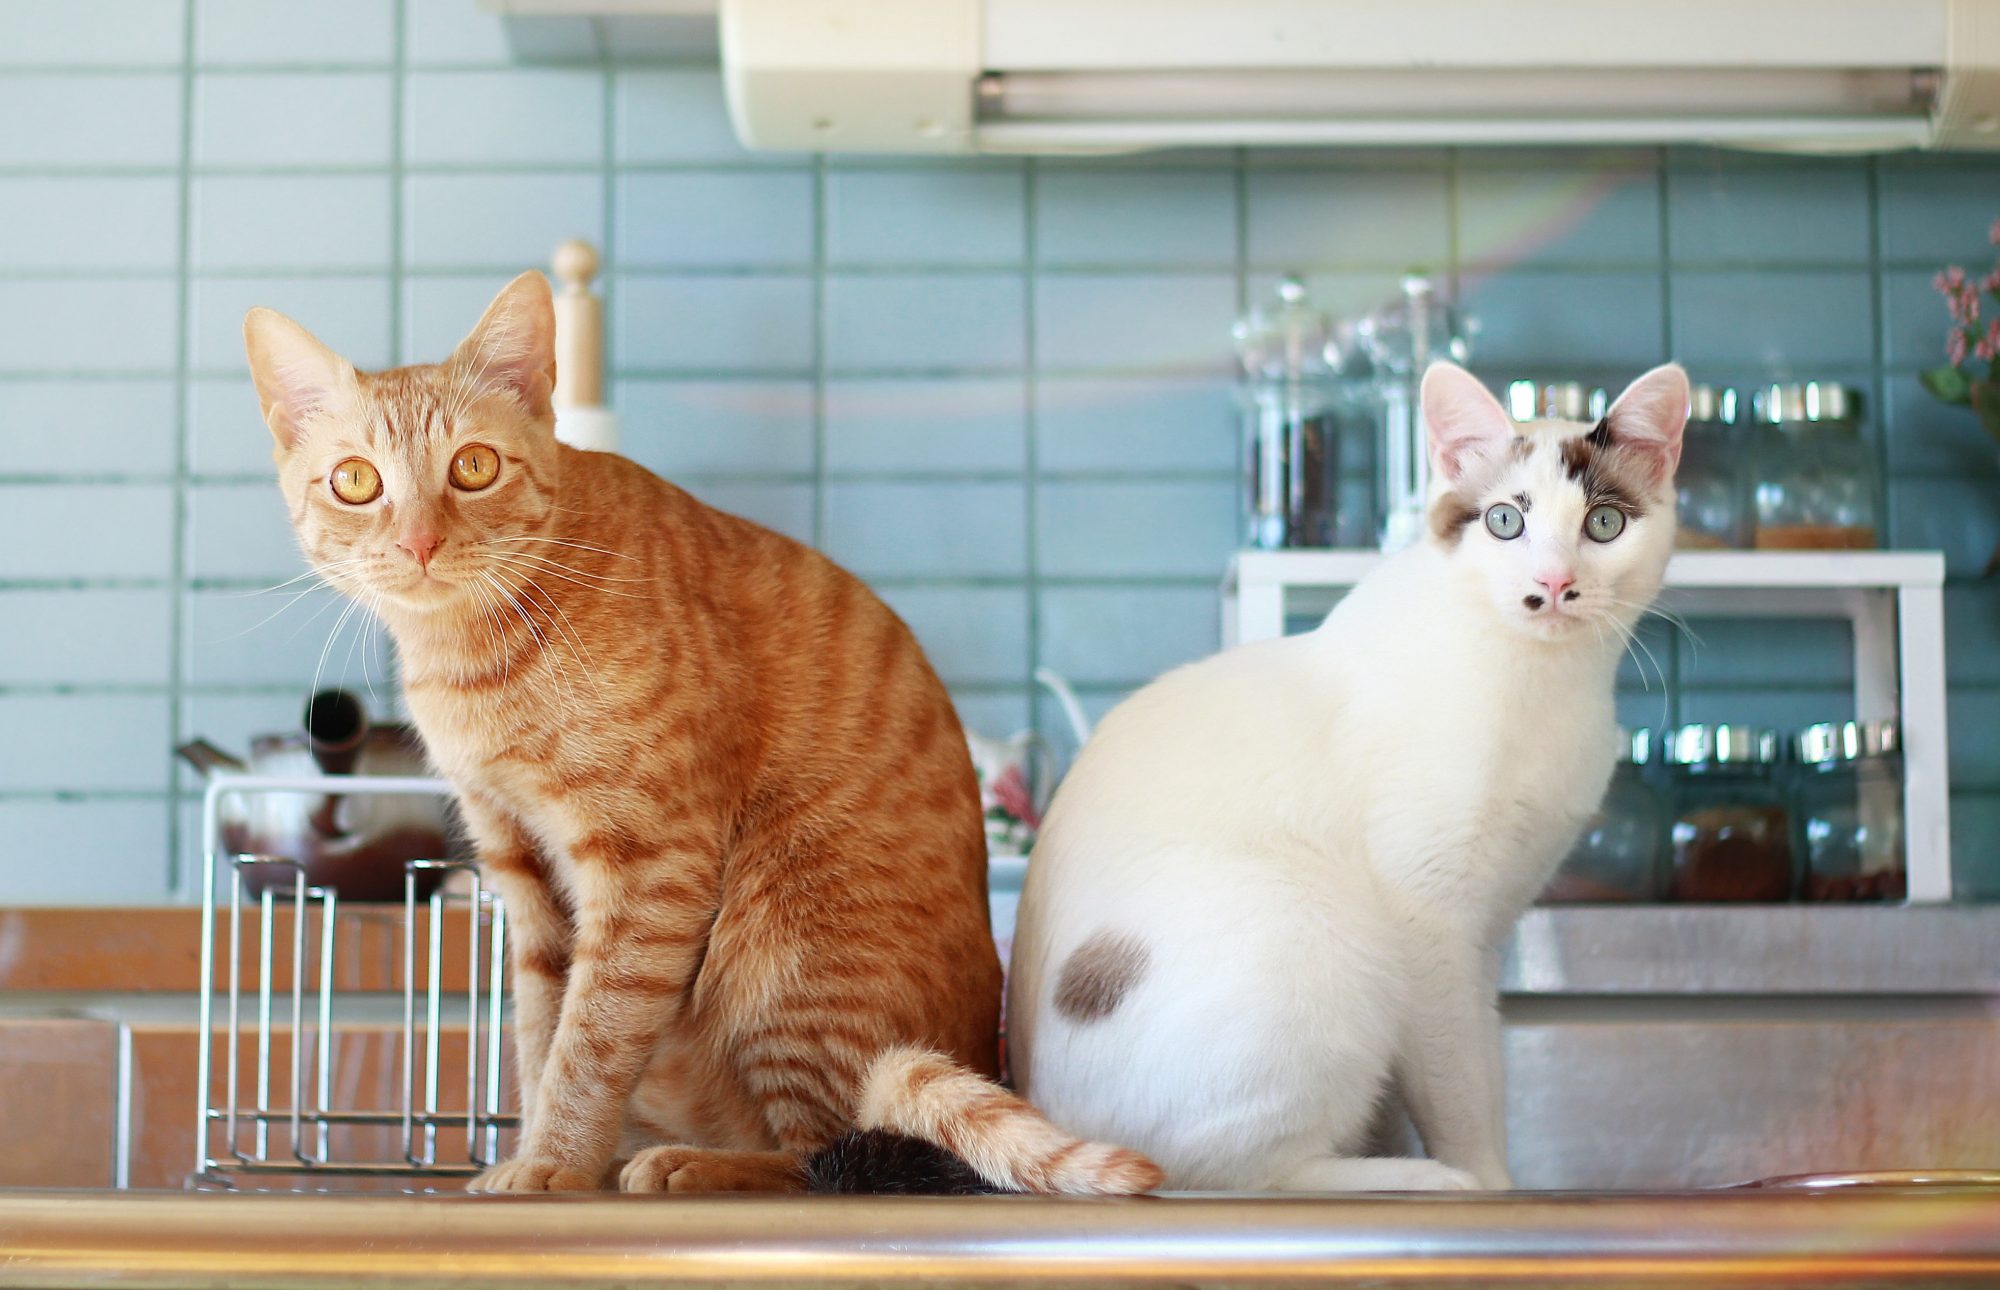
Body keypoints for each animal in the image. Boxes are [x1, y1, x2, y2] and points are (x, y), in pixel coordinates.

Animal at [250, 274, 1168, 1200]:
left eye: (473, 467)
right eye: (356, 481)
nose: (420, 542)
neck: (473, 660)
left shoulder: (651, 864)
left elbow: (591, 1039)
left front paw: (555, 1162)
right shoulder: (522, 873)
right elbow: (541, 1035)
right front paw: (538, 1151)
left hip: (785, 942)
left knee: (826, 1153)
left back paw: (687, 1161)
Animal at [1000, 360, 1688, 1184]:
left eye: (1604, 525)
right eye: (1504, 522)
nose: (1553, 583)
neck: (1540, 685)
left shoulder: (1485, 932)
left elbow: (1480, 1067)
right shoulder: (1427, 921)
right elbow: (1461, 1086)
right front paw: (1489, 1182)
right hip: (1312, 929)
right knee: (1241, 1178)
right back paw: (1422, 1180)